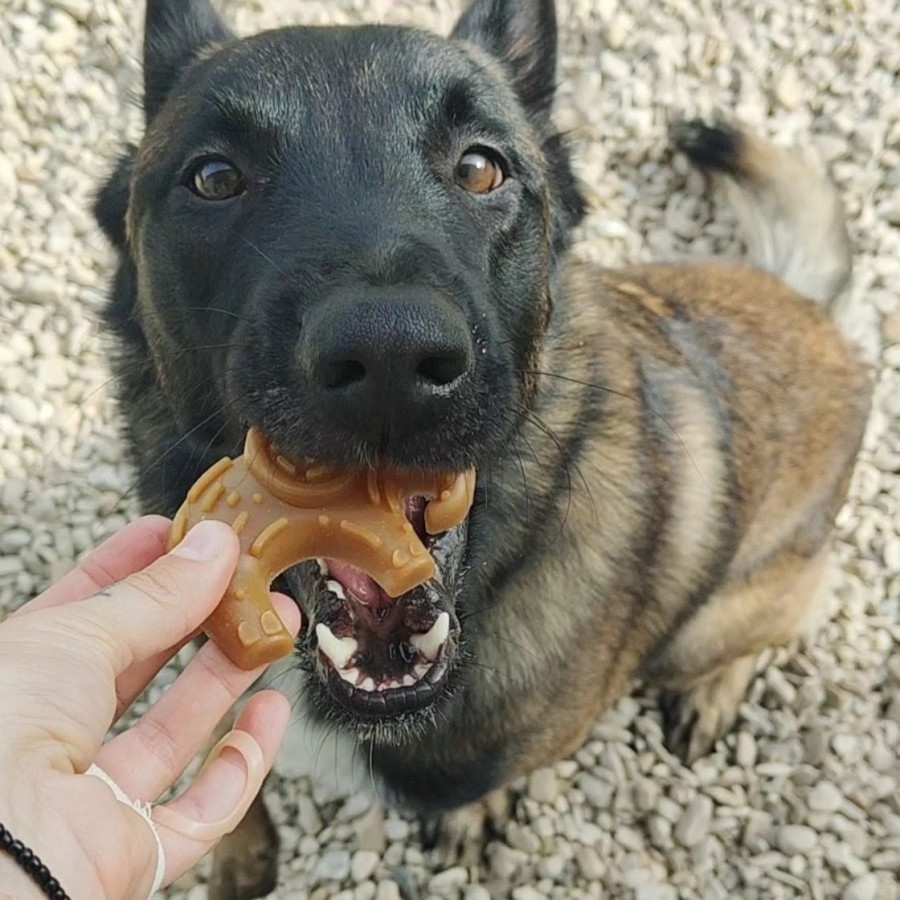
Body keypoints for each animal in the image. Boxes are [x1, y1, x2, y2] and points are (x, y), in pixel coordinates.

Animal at [95, 0, 876, 892]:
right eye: (216, 178)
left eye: (479, 168)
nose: (390, 358)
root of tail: (815, 309)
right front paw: (233, 847)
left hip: (720, 616)